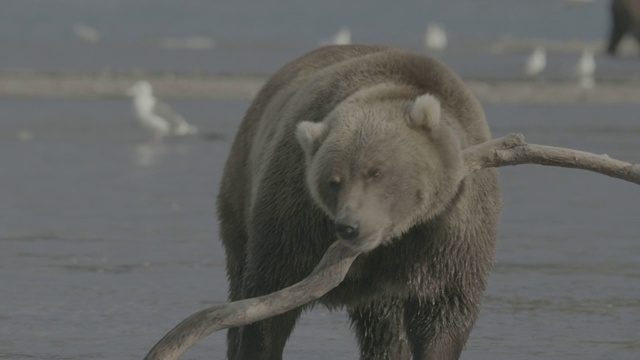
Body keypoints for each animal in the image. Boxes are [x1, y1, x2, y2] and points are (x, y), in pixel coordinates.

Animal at [218, 45, 502, 360]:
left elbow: (443, 309)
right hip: (240, 194)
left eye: (376, 172)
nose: (350, 226)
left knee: (384, 328)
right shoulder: (298, 217)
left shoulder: (450, 232)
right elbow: (269, 299)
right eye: (333, 180)